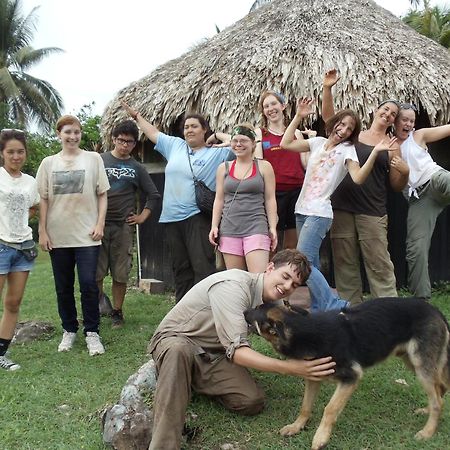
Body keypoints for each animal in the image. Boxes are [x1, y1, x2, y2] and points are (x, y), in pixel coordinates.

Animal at [246, 298, 450, 448]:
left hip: (420, 365)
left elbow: (330, 409)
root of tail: (435, 310)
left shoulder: (351, 378)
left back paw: (428, 431)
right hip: (413, 362)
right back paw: (427, 411)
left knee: (438, 400)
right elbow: (305, 406)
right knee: (439, 388)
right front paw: (296, 426)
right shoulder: (313, 376)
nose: (244, 311)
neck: (303, 329)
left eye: (256, 308)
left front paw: (320, 437)